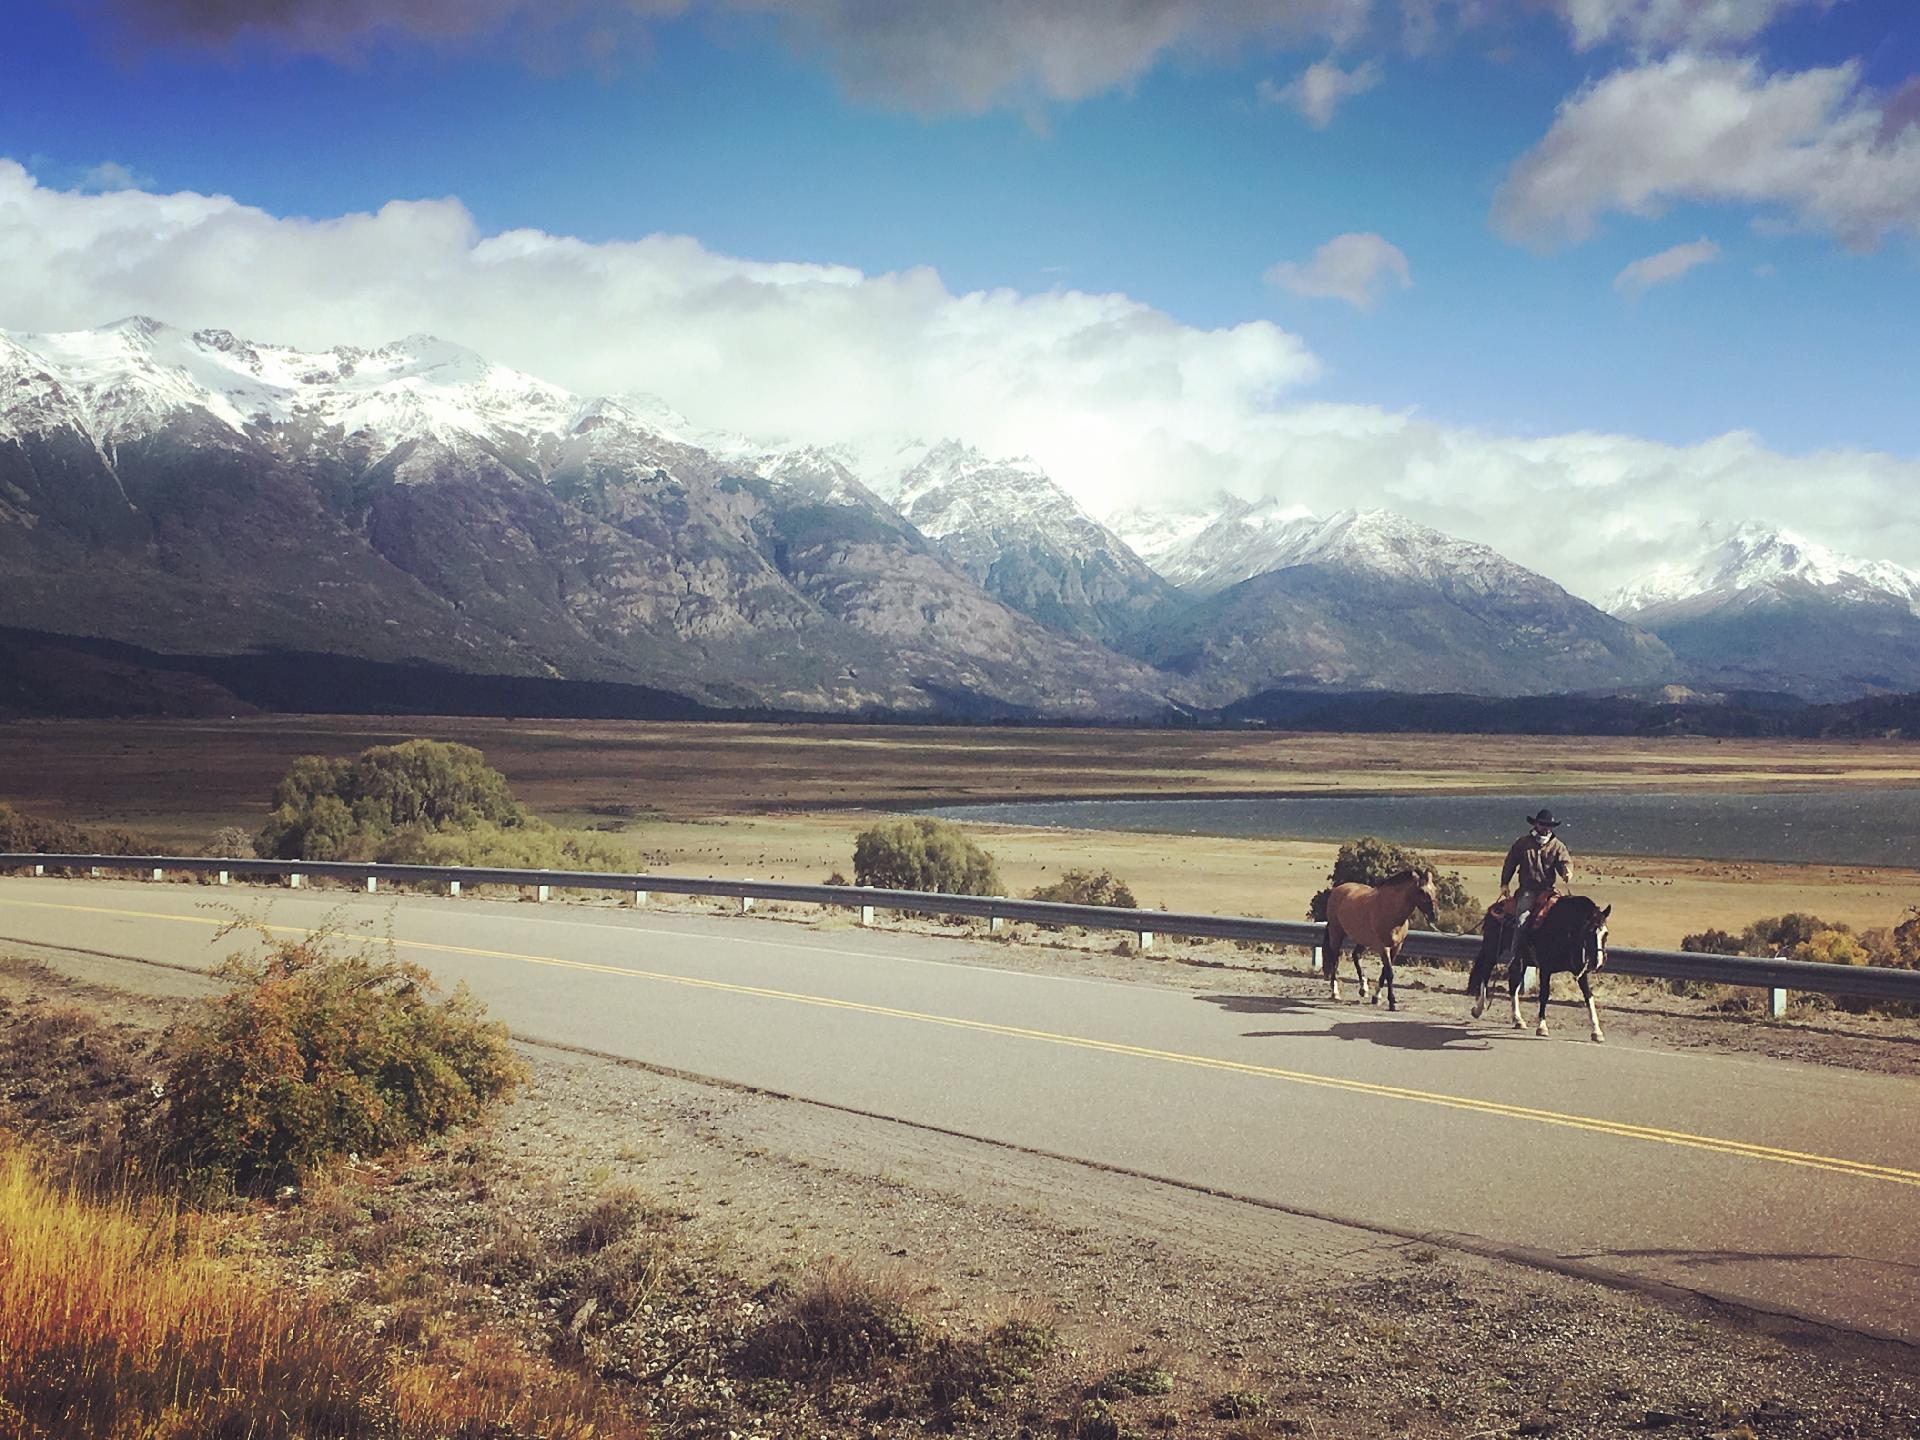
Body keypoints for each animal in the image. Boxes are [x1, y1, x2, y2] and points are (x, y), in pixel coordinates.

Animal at [1328, 867, 1436, 1013]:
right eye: (1421, 891)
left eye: (1434, 889)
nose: (1434, 916)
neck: (1390, 912)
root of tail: (1338, 890)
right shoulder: (1383, 947)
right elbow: (1389, 973)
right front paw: (1392, 1003)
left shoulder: (1396, 947)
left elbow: (1385, 971)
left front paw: (1376, 997)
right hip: (1336, 934)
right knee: (1335, 961)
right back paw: (1335, 993)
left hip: (1363, 940)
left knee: (1355, 956)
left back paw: (1363, 989)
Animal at [1459, 898, 1612, 1044]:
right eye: (1589, 932)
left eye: (1605, 933)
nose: (1597, 963)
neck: (1565, 930)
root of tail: (1495, 907)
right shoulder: (1545, 968)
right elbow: (1544, 994)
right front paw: (1542, 1027)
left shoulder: (1580, 971)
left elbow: (1588, 996)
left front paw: (1597, 1032)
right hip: (1492, 950)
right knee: (1485, 975)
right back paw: (1478, 1009)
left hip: (1521, 960)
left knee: (1513, 984)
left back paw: (1518, 1019)